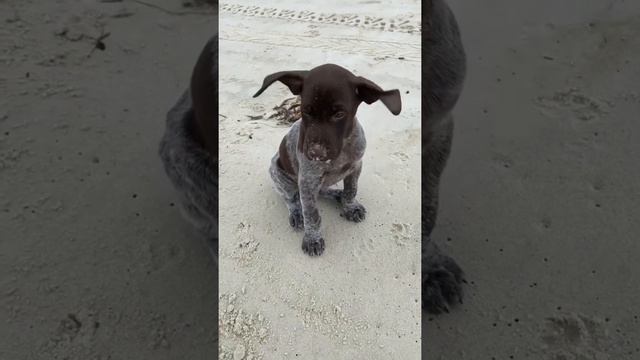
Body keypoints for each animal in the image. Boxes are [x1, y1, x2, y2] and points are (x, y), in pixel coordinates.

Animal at [254, 64, 400, 256]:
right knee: (291, 199)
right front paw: (313, 238)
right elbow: (311, 214)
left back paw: (337, 194)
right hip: (278, 174)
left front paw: (349, 206)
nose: (315, 153)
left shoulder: (355, 166)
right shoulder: (308, 180)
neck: (343, 150)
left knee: (323, 191)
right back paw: (297, 214)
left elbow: (351, 190)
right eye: (306, 111)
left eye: (339, 114)